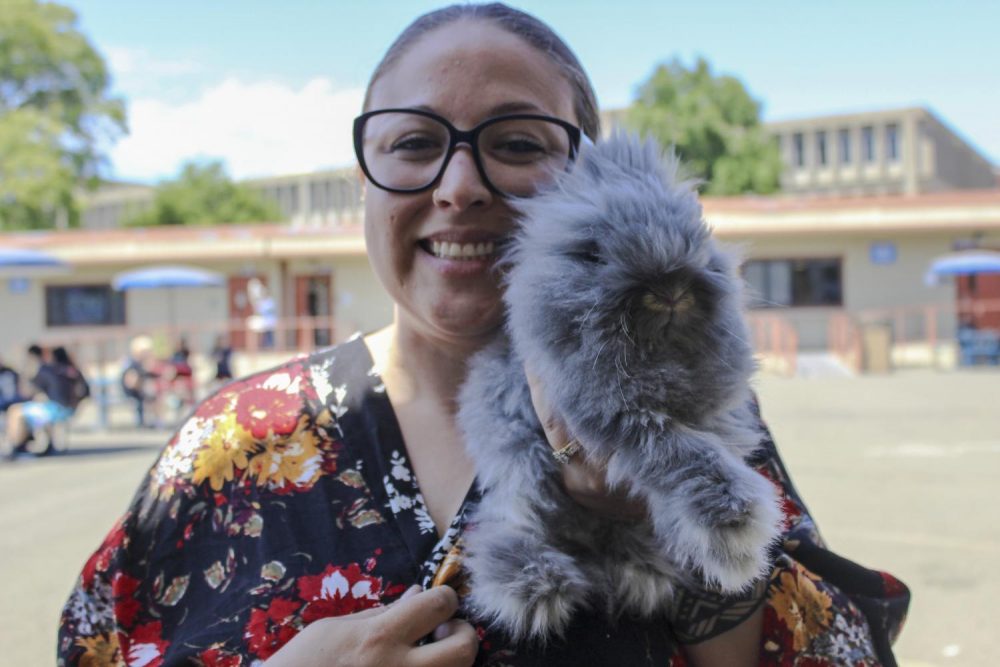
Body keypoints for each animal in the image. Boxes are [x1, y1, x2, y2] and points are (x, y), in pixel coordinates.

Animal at [458, 132, 784, 640]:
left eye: (698, 235)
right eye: (592, 254)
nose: (670, 291)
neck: (656, 356)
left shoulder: (716, 417)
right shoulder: (623, 419)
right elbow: (687, 456)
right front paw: (736, 527)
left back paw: (640, 572)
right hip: (520, 464)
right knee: (513, 525)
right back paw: (537, 586)